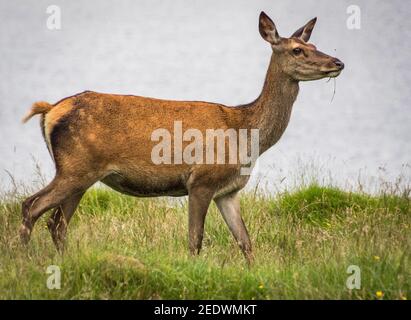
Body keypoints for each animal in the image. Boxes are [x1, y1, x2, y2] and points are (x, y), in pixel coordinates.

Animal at [20, 11, 344, 264]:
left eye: (313, 44)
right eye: (297, 50)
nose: (338, 62)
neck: (245, 133)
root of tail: (50, 110)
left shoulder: (228, 191)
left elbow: (246, 242)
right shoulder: (201, 180)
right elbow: (195, 240)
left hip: (81, 175)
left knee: (57, 223)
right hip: (75, 168)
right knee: (31, 206)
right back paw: (24, 260)